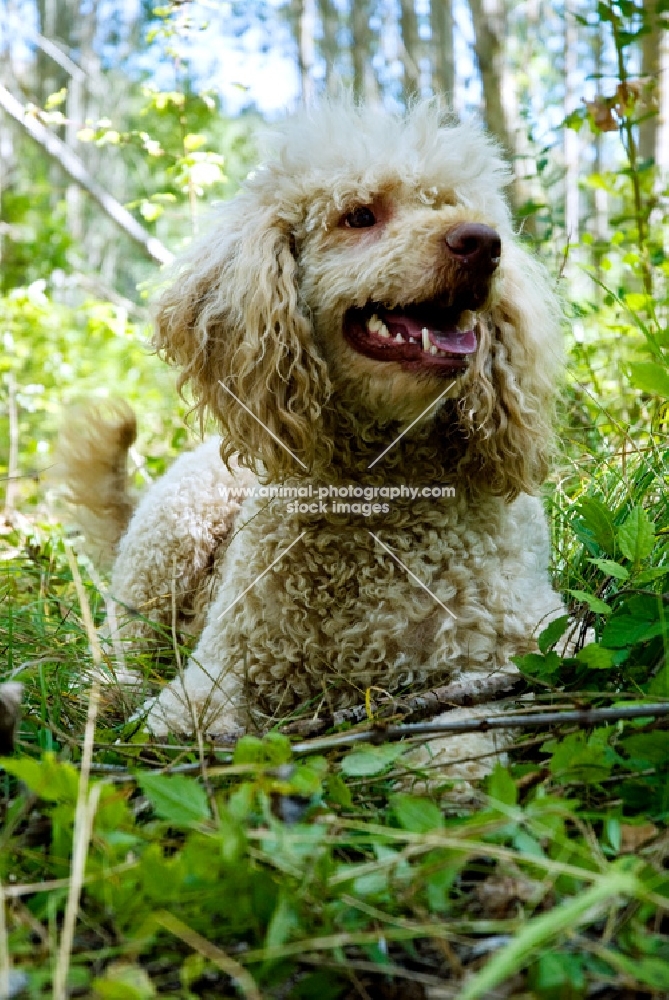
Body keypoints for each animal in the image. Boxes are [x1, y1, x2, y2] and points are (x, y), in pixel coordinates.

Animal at [60, 99, 568, 772]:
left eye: (451, 204)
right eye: (359, 216)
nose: (484, 244)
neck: (379, 494)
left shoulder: (531, 645)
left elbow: (467, 725)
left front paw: (441, 772)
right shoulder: (214, 672)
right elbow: (176, 726)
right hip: (166, 550)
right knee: (122, 647)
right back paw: (104, 687)